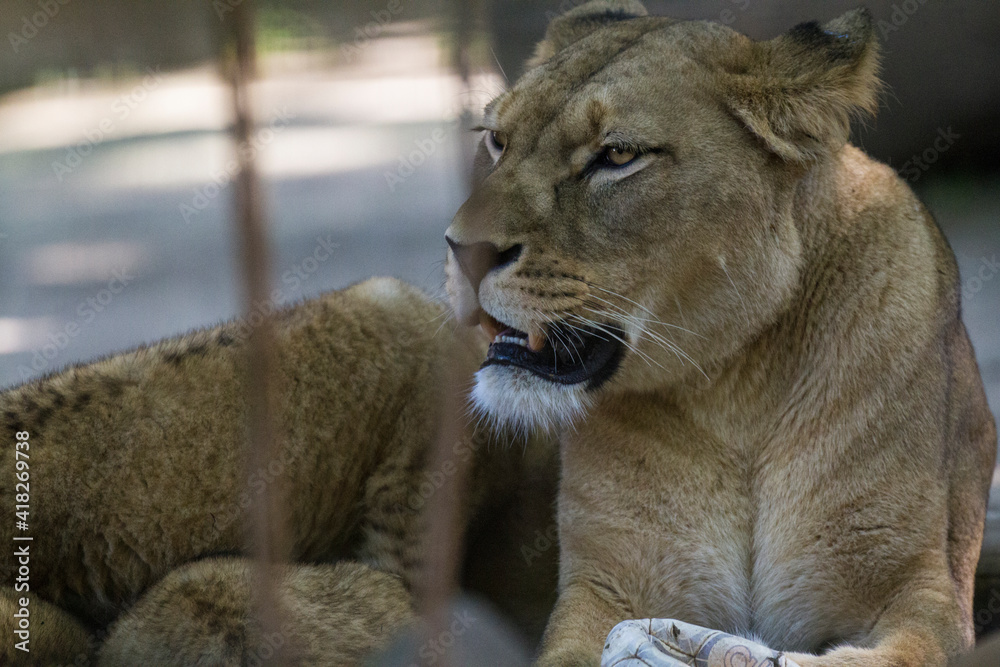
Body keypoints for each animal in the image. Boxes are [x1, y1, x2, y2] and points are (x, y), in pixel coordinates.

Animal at [443, 1, 997, 665]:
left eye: (618, 156)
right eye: (497, 140)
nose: (462, 251)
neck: (739, 393)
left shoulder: (922, 588)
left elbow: (895, 653)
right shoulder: (605, 586)